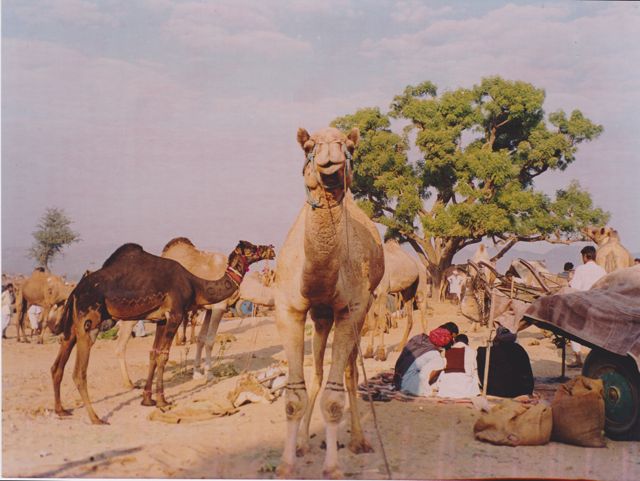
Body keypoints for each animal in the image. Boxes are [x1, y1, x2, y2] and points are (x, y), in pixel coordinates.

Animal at [50, 240, 275, 424]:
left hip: (72, 327)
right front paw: (162, 401)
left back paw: (61, 410)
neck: (195, 284)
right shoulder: (175, 315)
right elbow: (164, 357)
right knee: (80, 371)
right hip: (90, 323)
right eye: (252, 247)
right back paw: (96, 417)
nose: (271, 249)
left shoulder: (160, 319)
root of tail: (75, 291)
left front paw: (147, 399)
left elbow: (154, 354)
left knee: (57, 366)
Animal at [273, 127, 384, 478]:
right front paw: (287, 462)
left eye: (347, 145)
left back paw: (359, 441)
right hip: (321, 316)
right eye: (309, 145)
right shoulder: (289, 309)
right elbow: (294, 394)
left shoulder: (352, 309)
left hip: (362, 310)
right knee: (319, 371)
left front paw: (333, 466)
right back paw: (304, 442)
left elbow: (335, 397)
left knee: (349, 373)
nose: (330, 160)